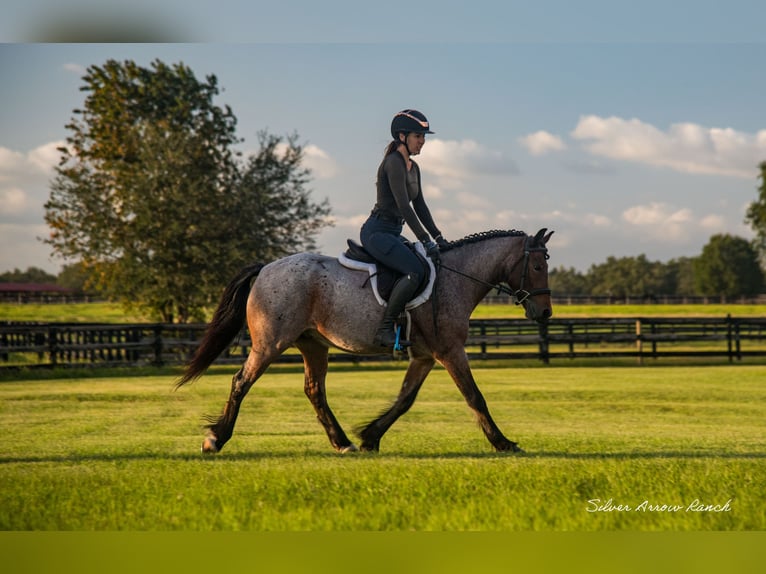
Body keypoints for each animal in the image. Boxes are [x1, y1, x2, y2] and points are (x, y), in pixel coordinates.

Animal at [177, 227, 556, 456]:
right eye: (538, 266)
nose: (545, 313)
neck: (455, 278)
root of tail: (266, 268)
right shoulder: (450, 351)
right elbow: (475, 397)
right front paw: (503, 442)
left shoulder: (424, 356)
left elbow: (405, 400)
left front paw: (370, 437)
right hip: (270, 343)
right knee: (242, 381)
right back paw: (216, 438)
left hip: (313, 344)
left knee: (314, 390)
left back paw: (342, 442)